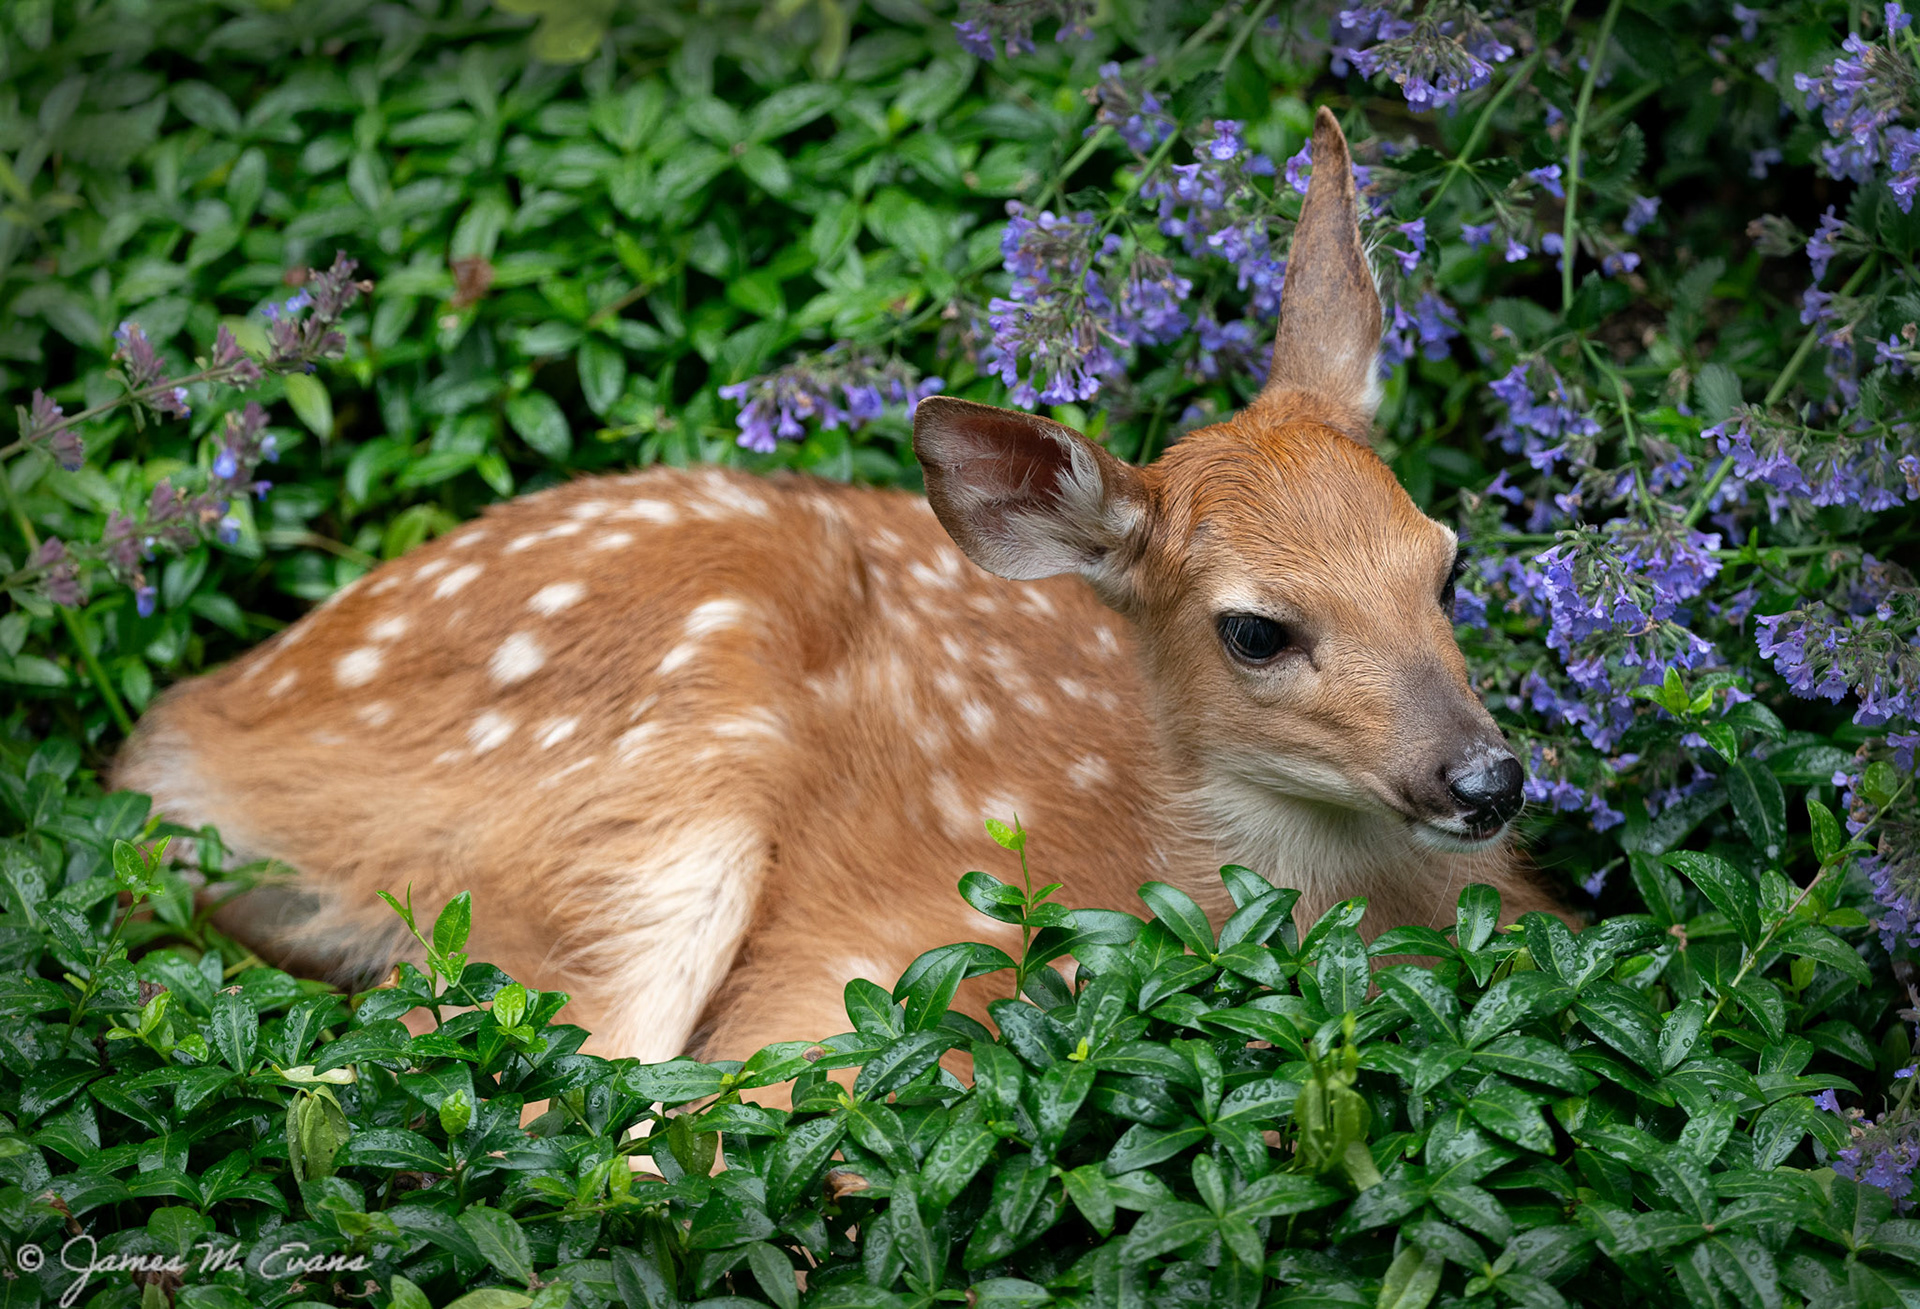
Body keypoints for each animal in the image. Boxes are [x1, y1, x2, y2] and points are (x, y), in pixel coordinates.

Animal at [114, 109, 1563, 1074]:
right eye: (1256, 629)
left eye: (1447, 561)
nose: (1485, 779)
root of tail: (186, 734)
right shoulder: (855, 980)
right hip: (640, 792)